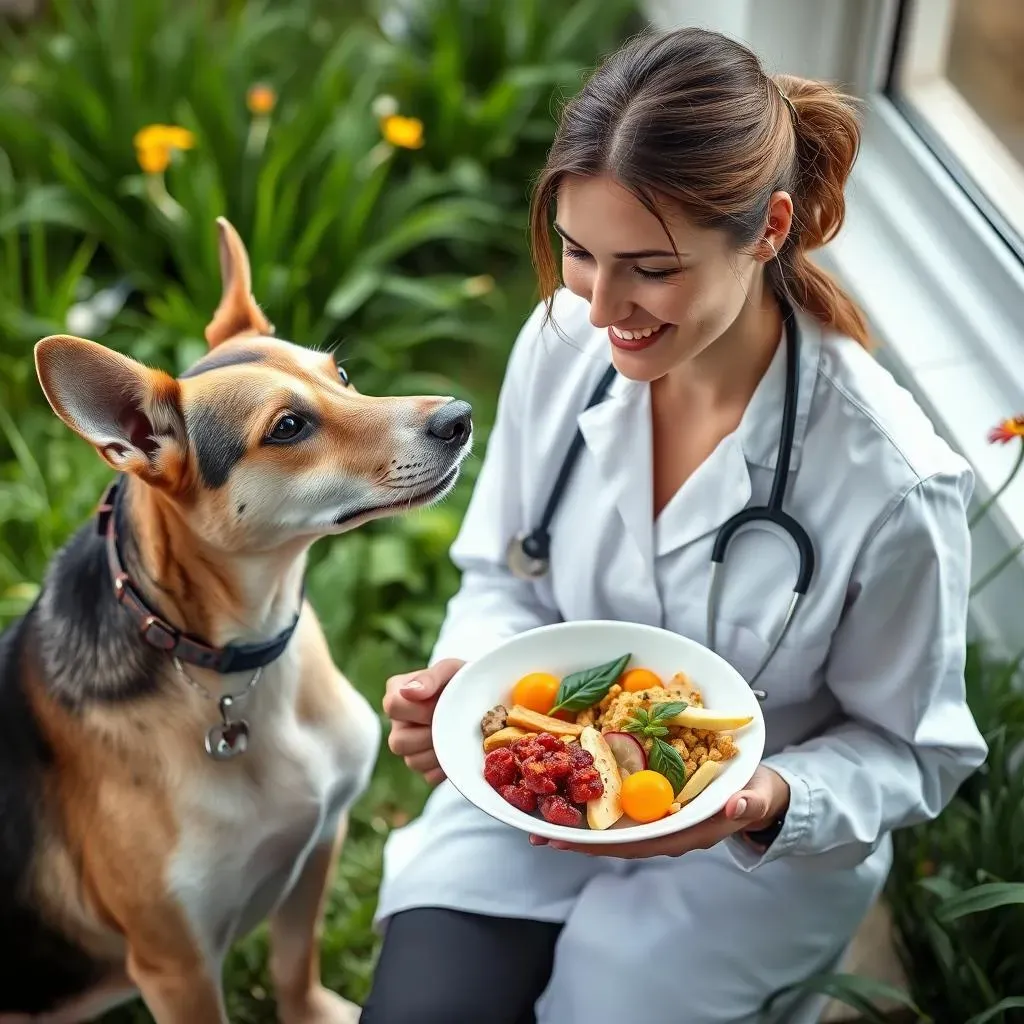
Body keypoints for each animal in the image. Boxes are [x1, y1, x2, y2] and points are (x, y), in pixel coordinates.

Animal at [0, 220, 471, 1019]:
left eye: (341, 375)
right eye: (288, 426)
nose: (460, 418)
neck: (244, 653)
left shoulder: (321, 839)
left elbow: (294, 962)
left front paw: (314, 1010)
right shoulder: (176, 963)